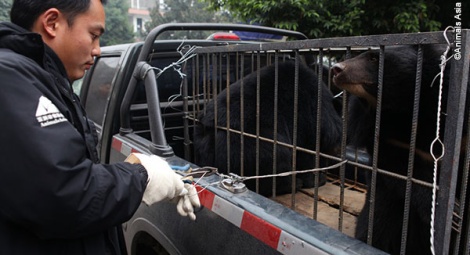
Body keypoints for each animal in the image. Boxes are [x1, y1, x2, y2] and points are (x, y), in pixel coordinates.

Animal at [193, 60, 344, 196]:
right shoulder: (307, 118)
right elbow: (306, 153)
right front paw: (316, 179)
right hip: (249, 146)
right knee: (277, 154)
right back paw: (292, 184)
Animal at [332, 45, 468, 255]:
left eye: (373, 58)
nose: (337, 69)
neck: (402, 111)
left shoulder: (462, 137)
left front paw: (454, 215)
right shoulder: (382, 136)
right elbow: (399, 168)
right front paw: (448, 211)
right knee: (379, 221)